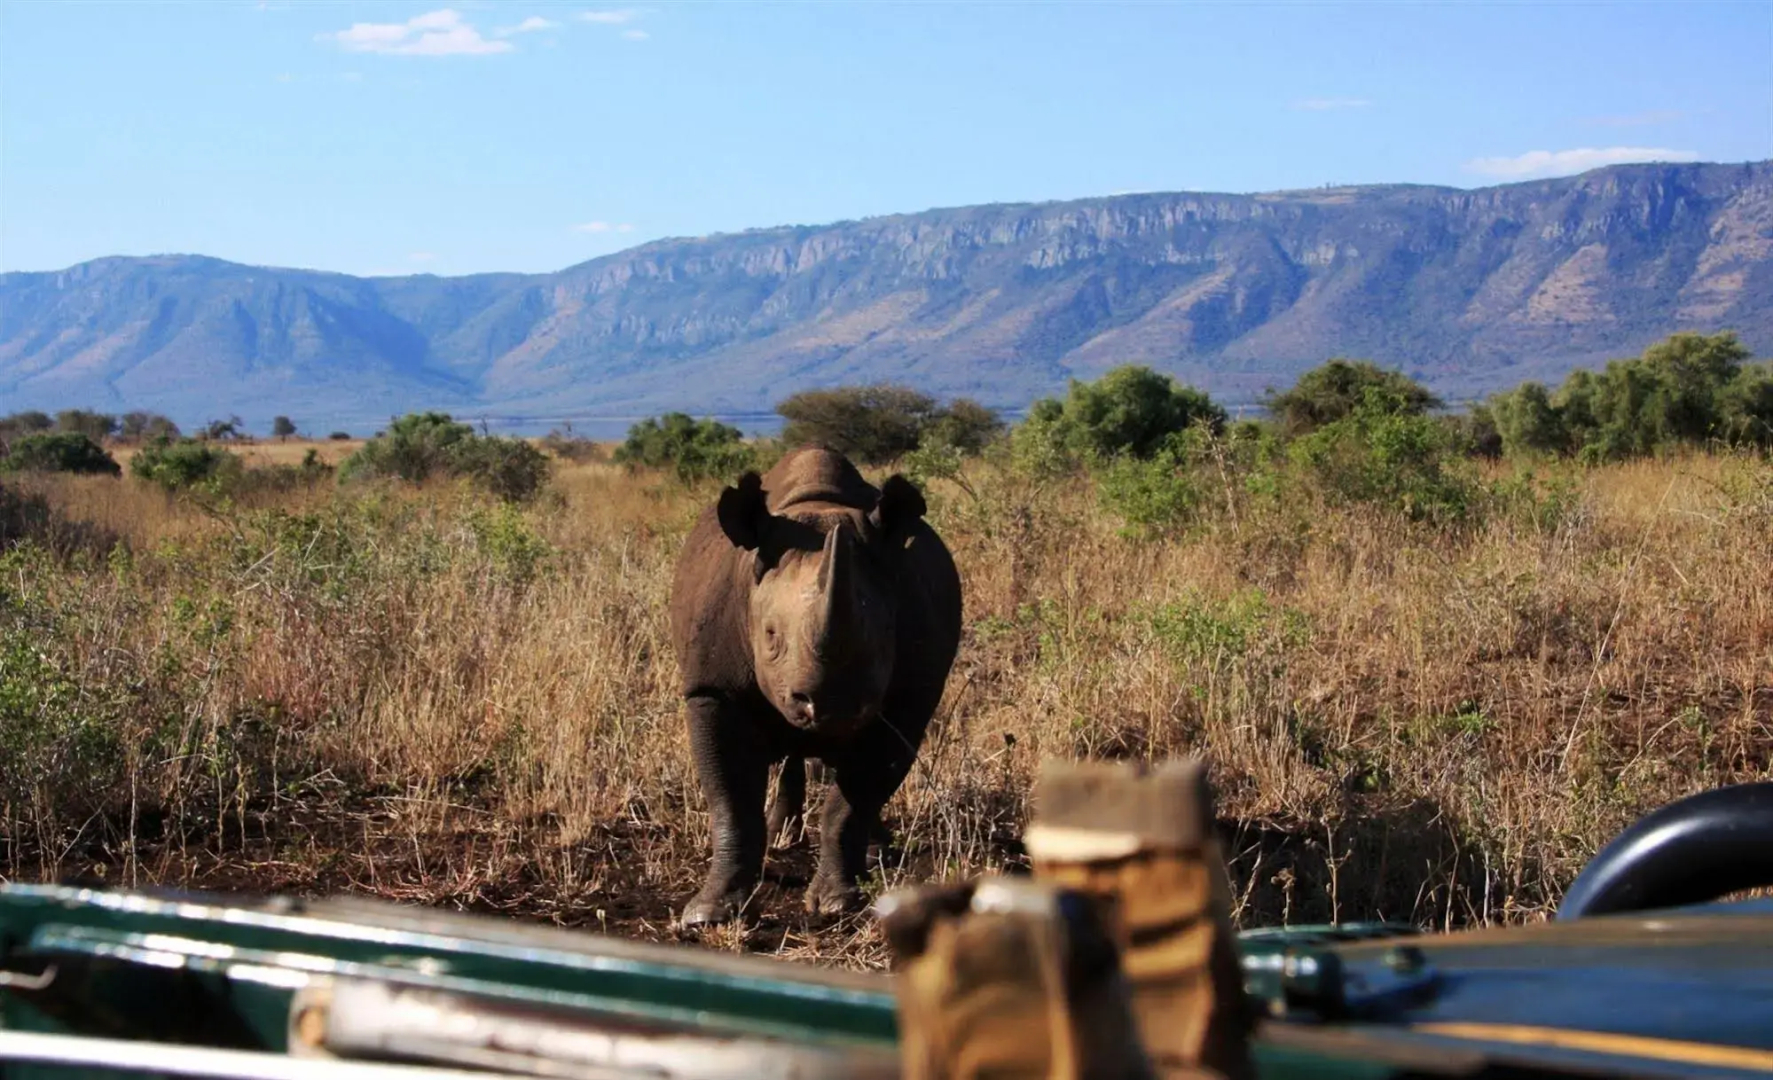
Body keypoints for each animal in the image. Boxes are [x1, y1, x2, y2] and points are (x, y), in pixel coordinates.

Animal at [668, 446, 962, 926]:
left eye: (884, 635)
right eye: (770, 636)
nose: (833, 707)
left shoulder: (907, 701)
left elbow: (853, 800)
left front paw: (836, 904)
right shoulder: (712, 689)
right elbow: (731, 800)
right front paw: (710, 913)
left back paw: (876, 853)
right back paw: (782, 836)